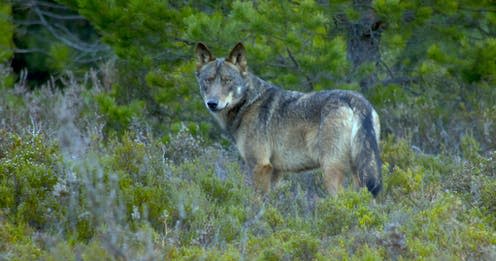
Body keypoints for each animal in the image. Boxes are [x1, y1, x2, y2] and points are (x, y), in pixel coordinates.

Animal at [196, 42, 382, 196]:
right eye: (208, 80)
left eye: (227, 81)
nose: (212, 103)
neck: (248, 103)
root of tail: (356, 100)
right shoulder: (276, 171)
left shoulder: (260, 165)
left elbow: (255, 203)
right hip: (360, 174)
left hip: (331, 170)